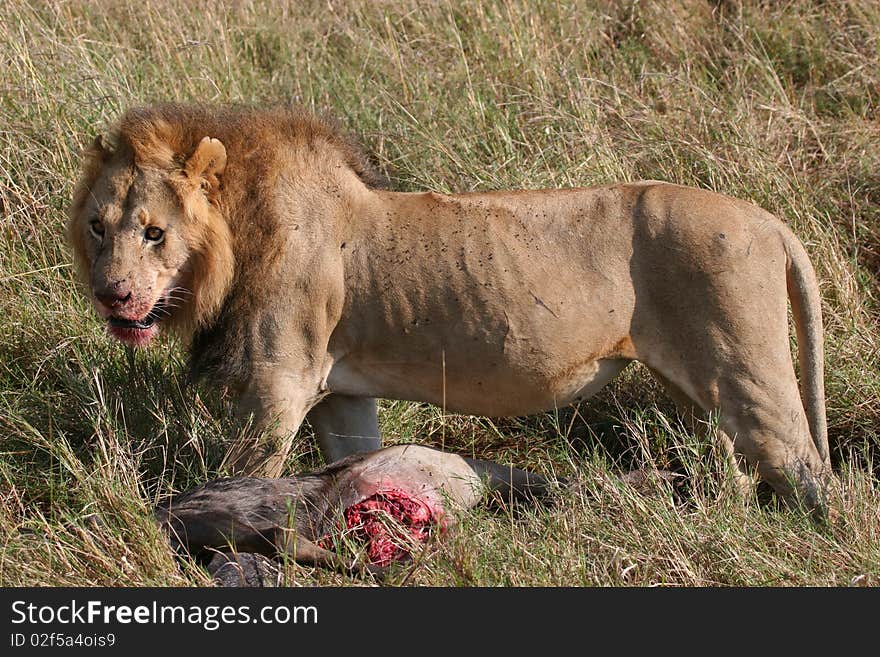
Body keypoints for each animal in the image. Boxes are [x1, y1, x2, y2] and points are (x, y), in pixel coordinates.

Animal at [69, 102, 832, 516]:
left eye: (155, 232)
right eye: (98, 228)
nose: (112, 295)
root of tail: (769, 221)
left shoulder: (277, 385)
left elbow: (246, 472)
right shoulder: (339, 392)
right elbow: (353, 463)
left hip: (748, 371)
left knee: (809, 469)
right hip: (696, 384)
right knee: (741, 465)